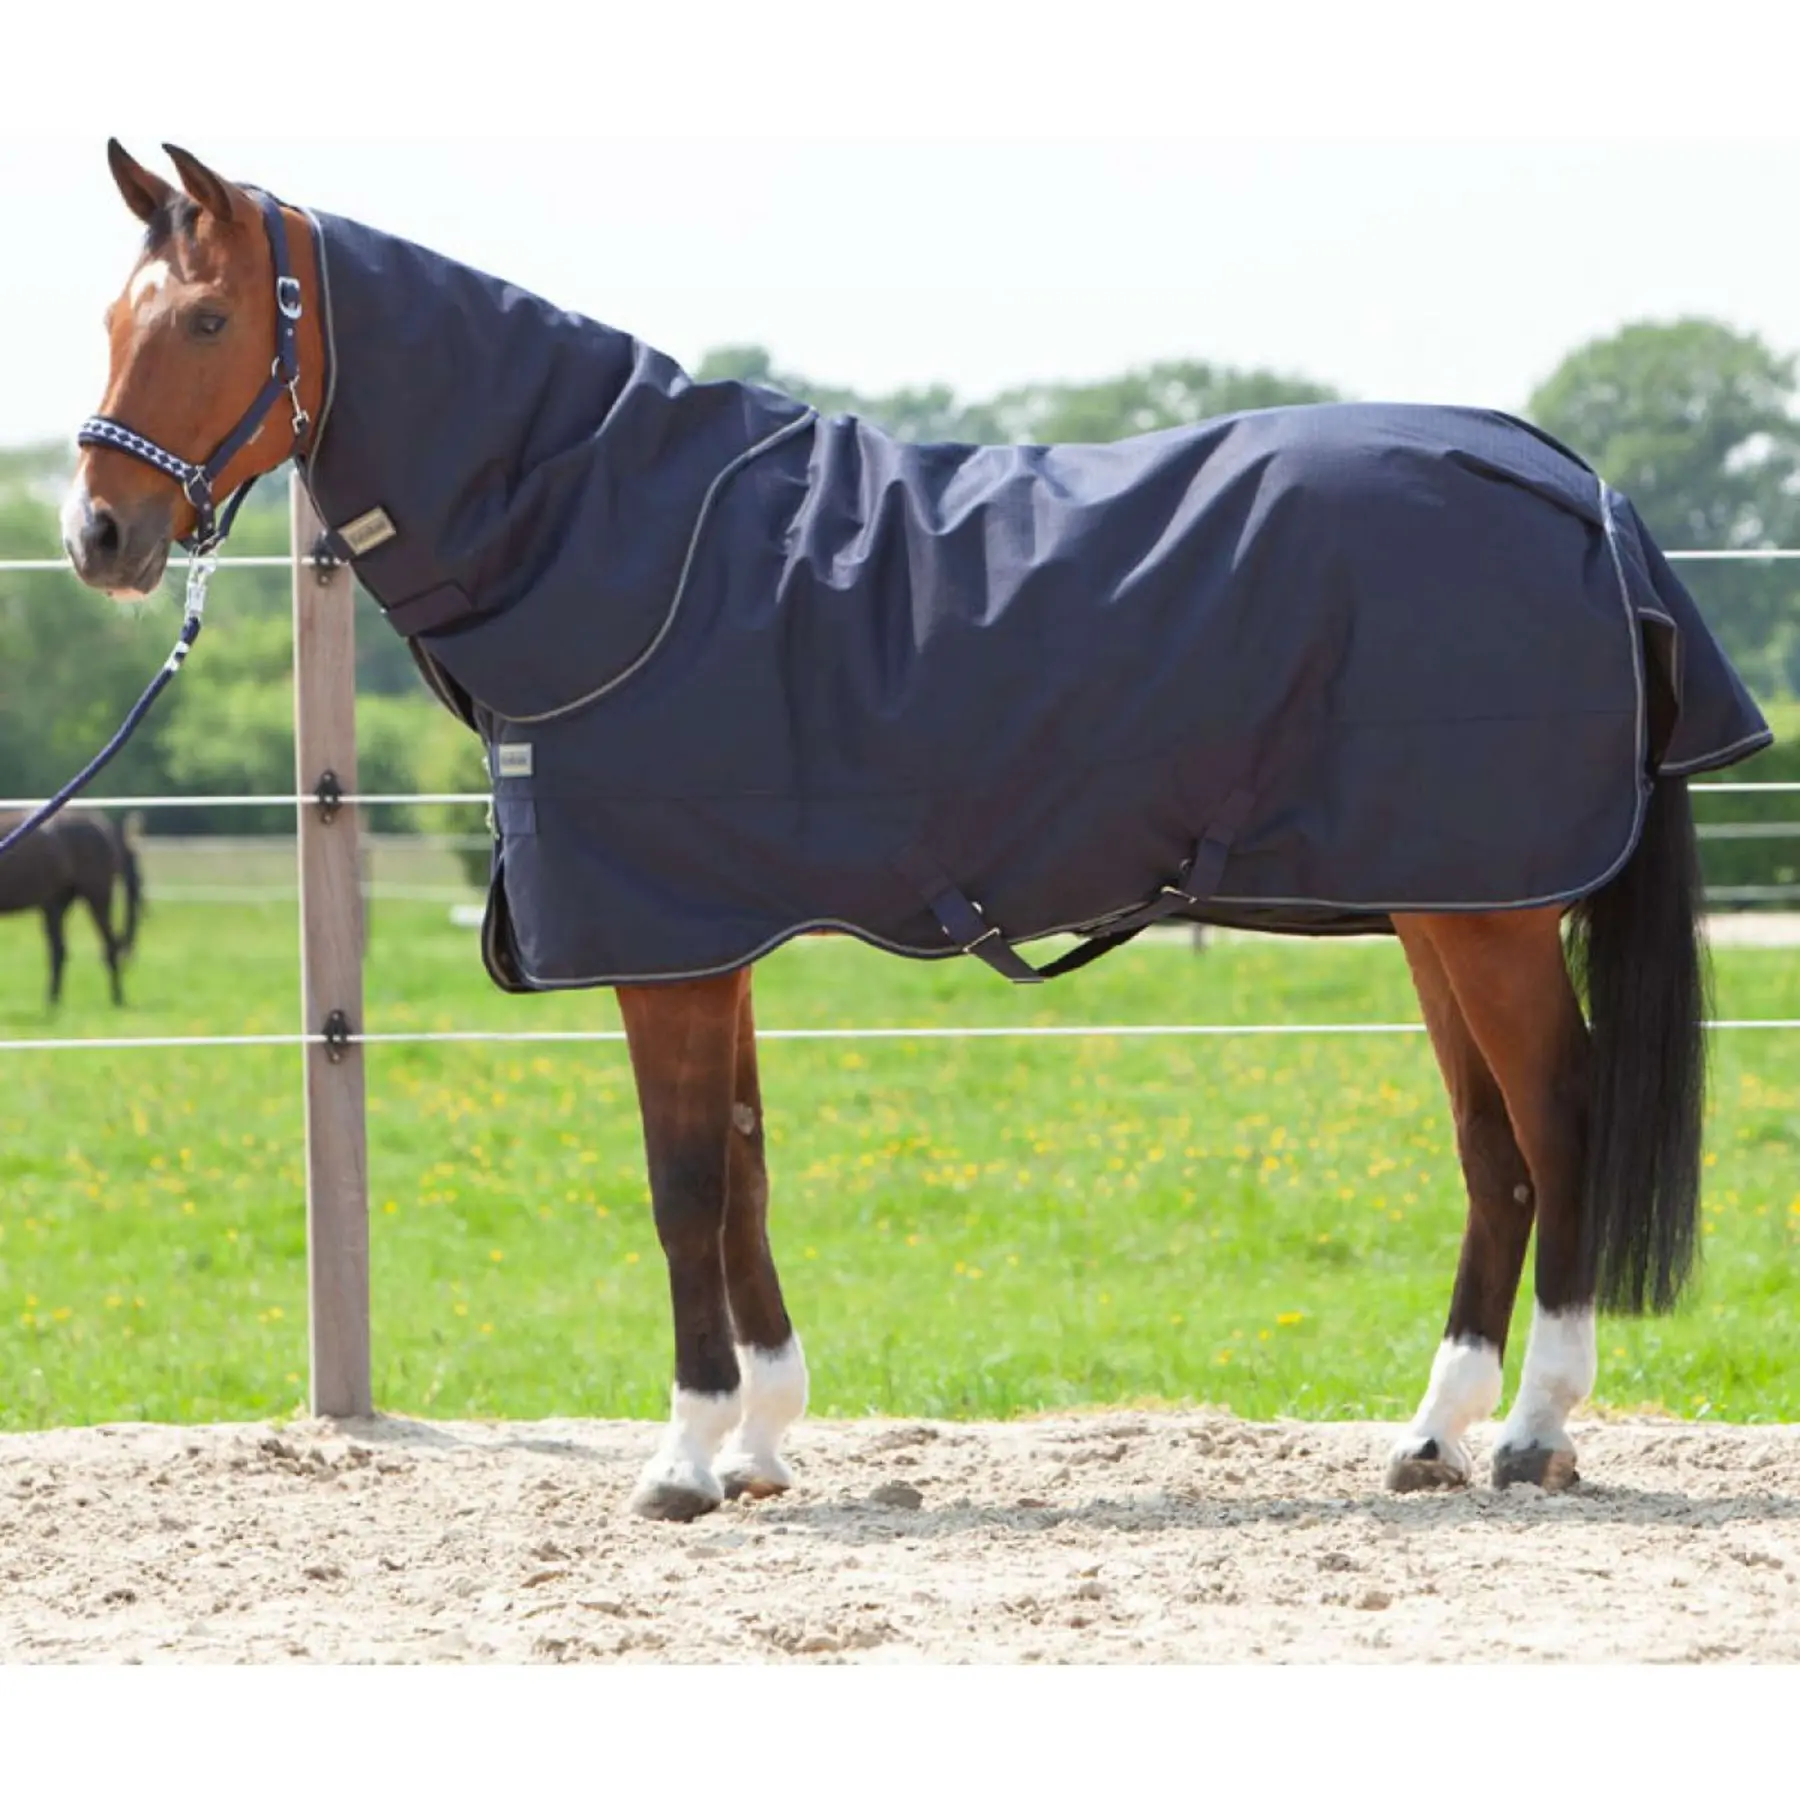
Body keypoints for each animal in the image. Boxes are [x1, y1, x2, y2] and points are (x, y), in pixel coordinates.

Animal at [0, 810, 143, 1008]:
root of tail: (103, 827)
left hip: (96, 897)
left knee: (110, 946)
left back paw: (117, 999)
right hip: (57, 905)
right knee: (59, 951)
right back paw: (52, 1004)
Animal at [62, 141, 1771, 1521]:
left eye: (205, 322)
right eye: (110, 324)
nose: (98, 535)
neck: (611, 529)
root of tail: (1570, 483)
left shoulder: (665, 952)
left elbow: (684, 1183)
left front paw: (684, 1461)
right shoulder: (715, 935)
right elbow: (746, 1168)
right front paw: (762, 1443)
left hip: (1486, 909)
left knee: (1559, 1122)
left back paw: (1532, 1435)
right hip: (1442, 896)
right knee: (1494, 1151)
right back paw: (1433, 1435)